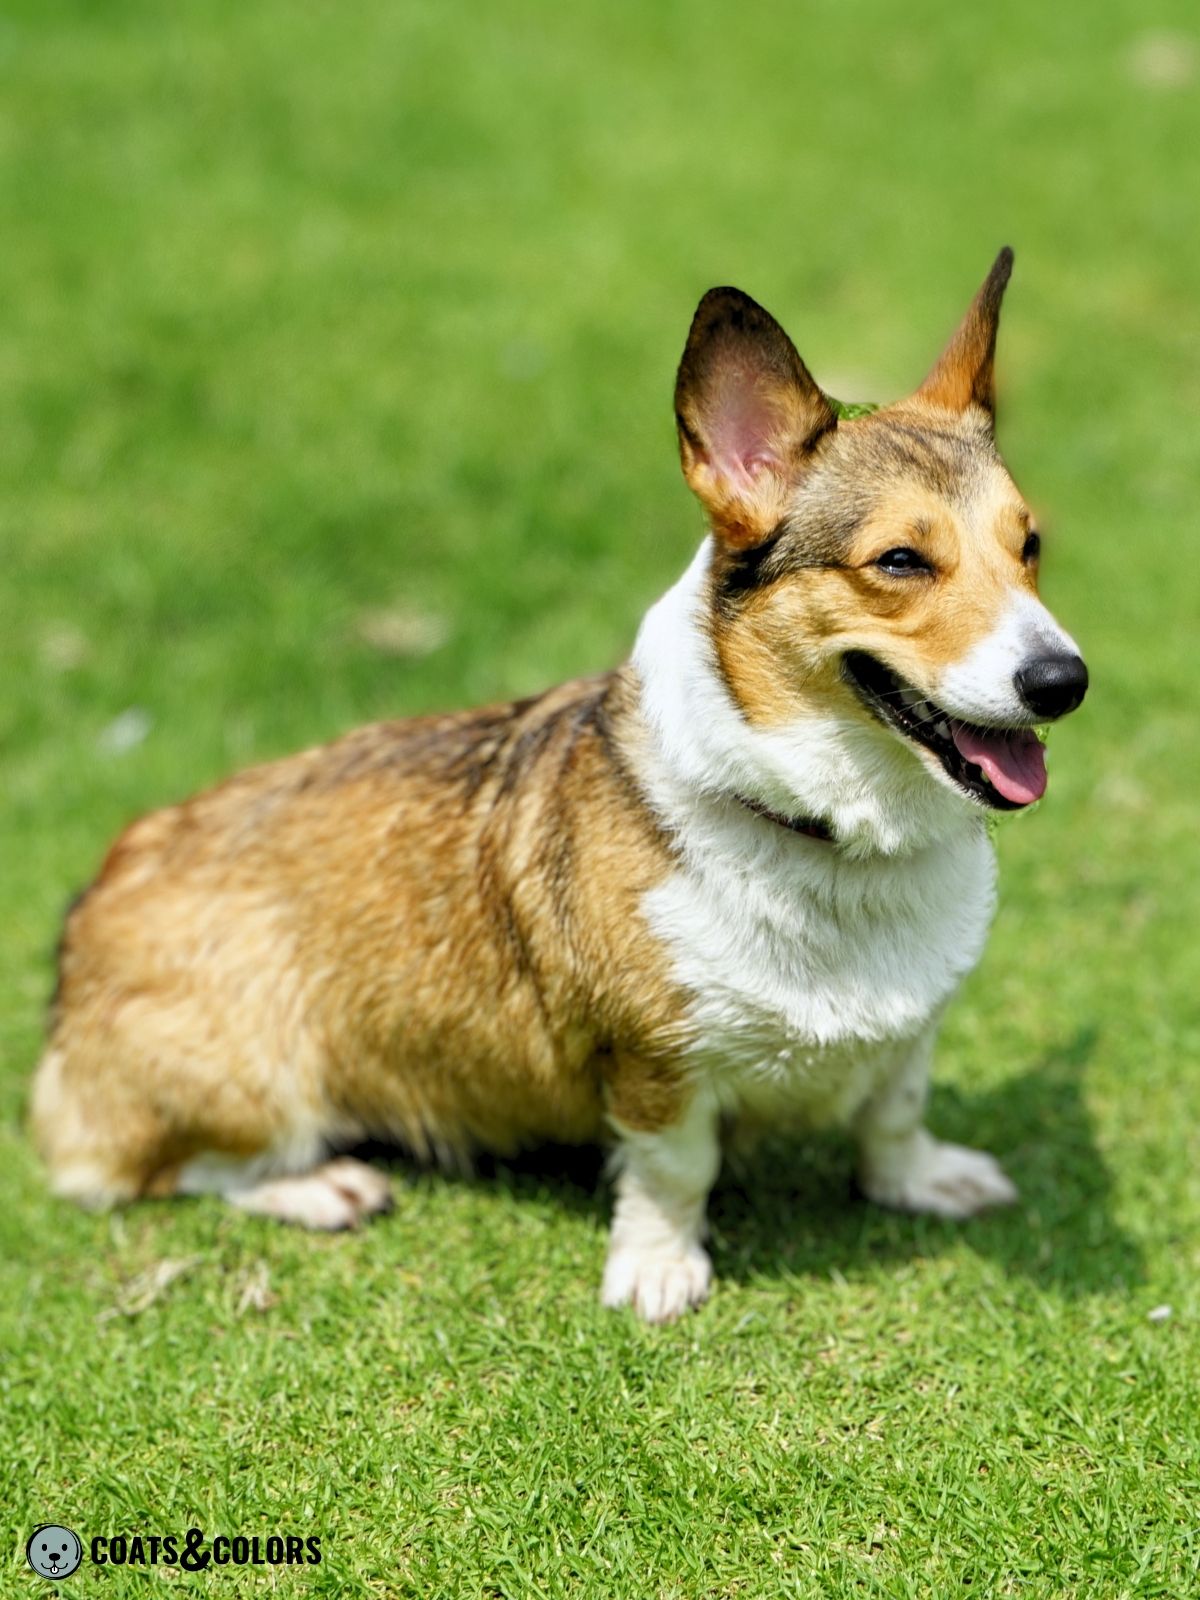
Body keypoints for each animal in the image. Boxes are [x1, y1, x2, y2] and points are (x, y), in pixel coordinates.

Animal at [35, 252, 1088, 1324]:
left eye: (1031, 545)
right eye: (901, 561)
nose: (1065, 681)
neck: (829, 834)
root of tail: (87, 915)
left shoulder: (913, 1030)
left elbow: (894, 1112)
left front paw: (922, 1180)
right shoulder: (658, 1066)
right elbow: (675, 1170)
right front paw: (660, 1269)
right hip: (255, 1084)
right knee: (142, 1172)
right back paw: (319, 1185)